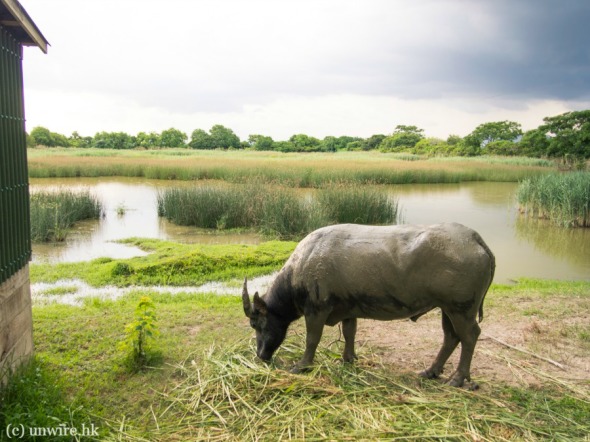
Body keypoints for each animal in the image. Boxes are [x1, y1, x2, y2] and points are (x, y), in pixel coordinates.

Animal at [243, 224, 498, 386]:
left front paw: (302, 365)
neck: (303, 264)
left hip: (461, 309)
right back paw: (431, 371)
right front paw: (348, 359)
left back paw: (458, 378)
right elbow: (349, 333)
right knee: (451, 337)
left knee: (469, 336)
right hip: (447, 308)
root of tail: (475, 238)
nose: (261, 354)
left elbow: (312, 339)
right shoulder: (347, 308)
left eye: (256, 324)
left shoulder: (316, 311)